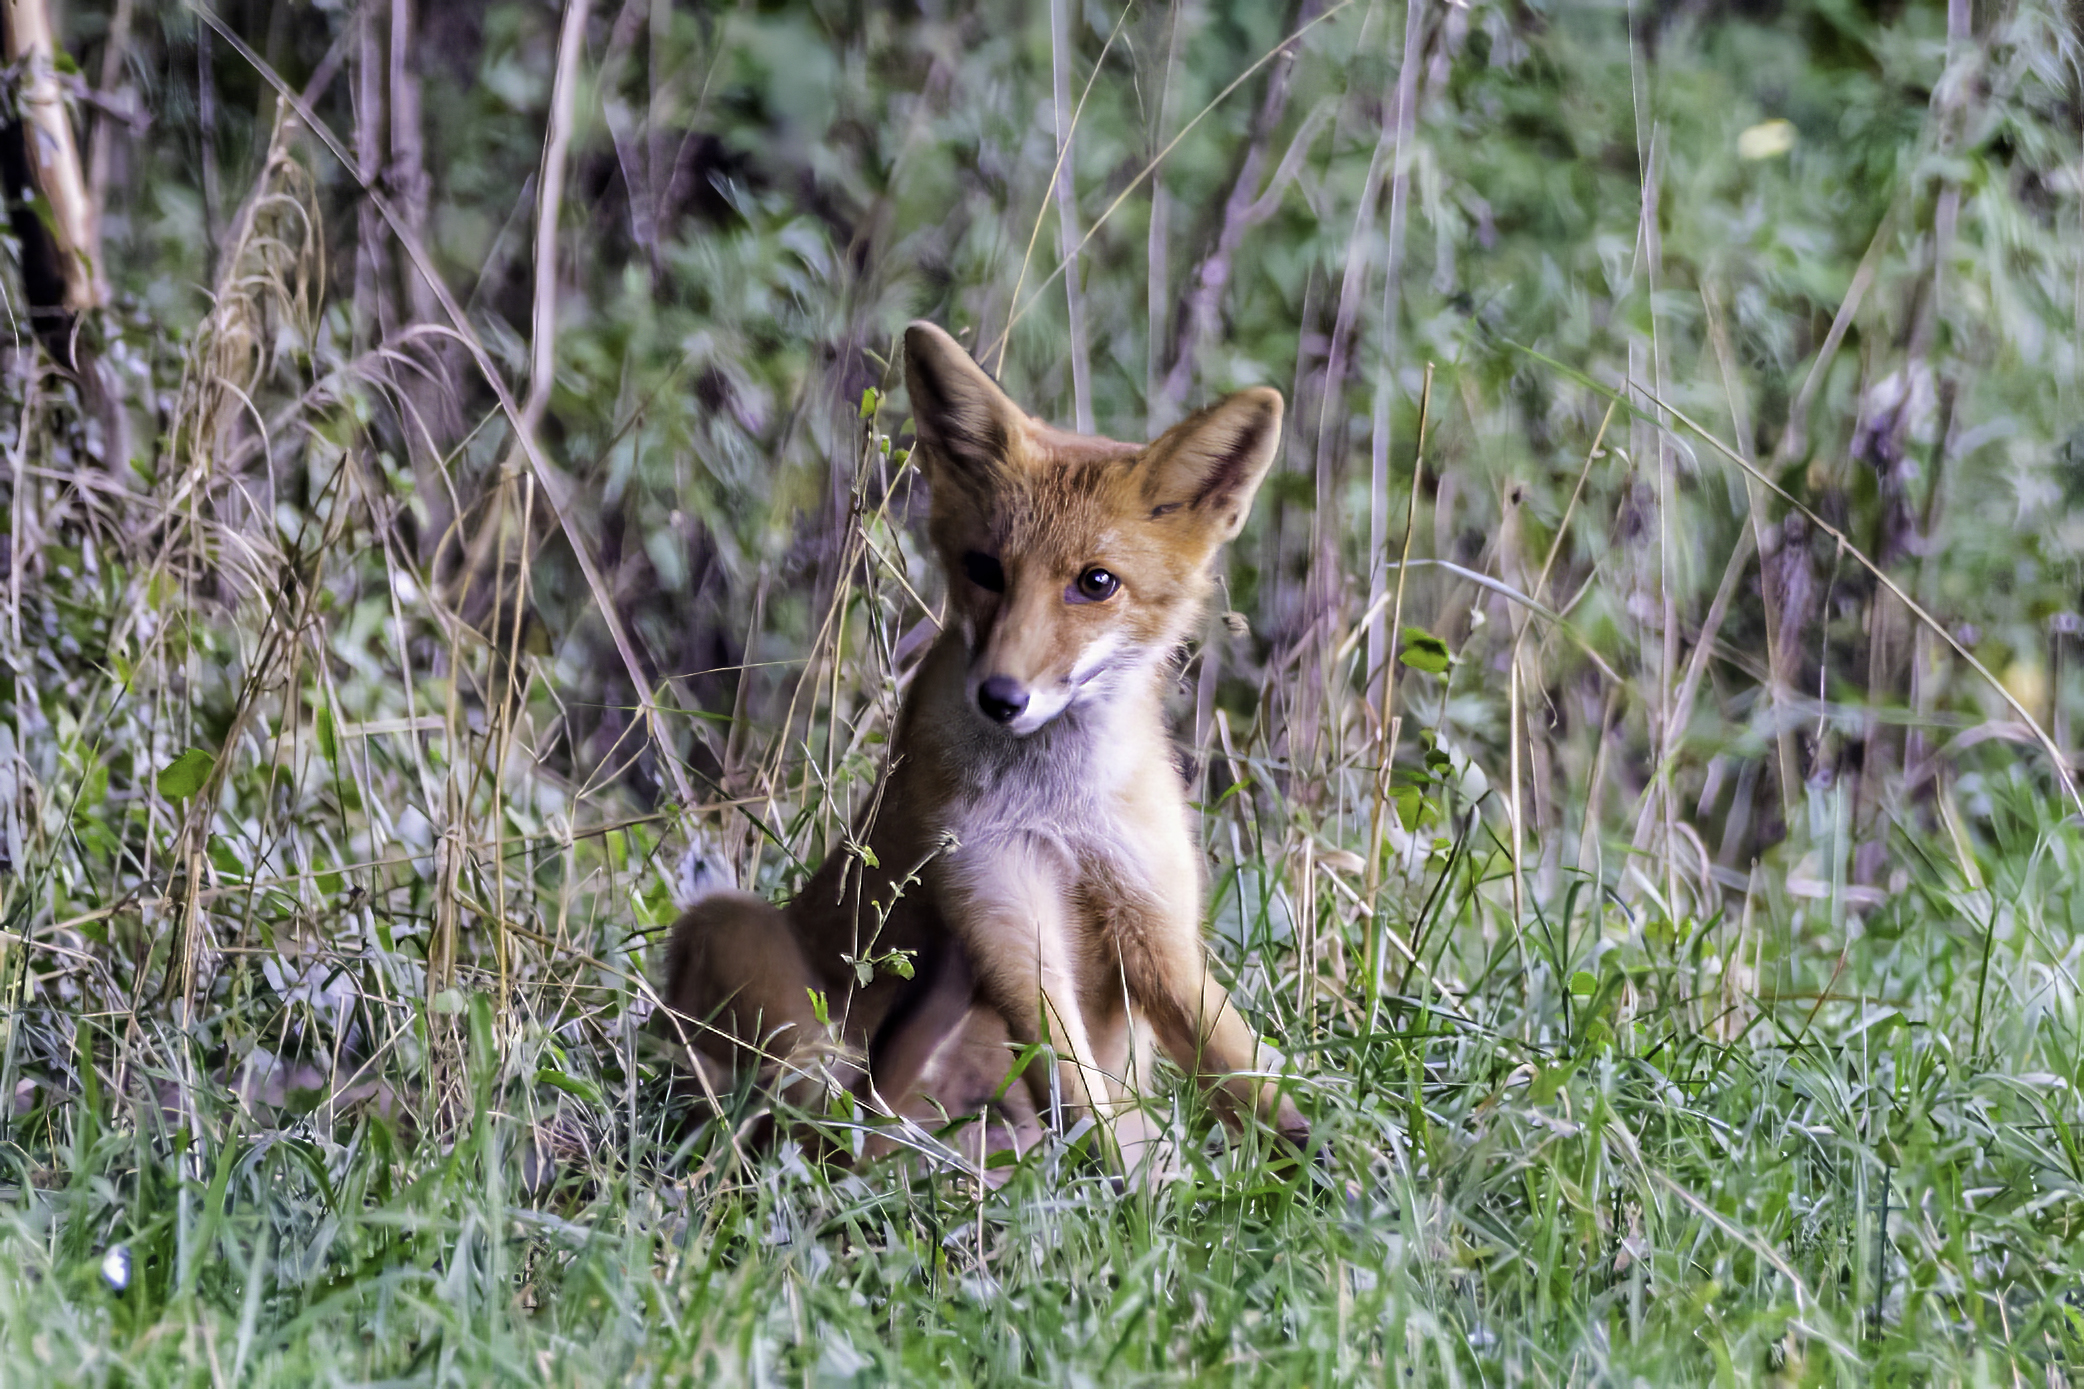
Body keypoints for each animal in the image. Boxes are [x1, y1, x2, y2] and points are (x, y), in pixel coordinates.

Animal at [662, 320, 1308, 1169]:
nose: (1001, 698)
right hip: (728, 930)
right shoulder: (1000, 904)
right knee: (823, 1116)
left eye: (1096, 582)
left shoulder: (1153, 920)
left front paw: (1328, 1169)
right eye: (984, 569)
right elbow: (1078, 1093)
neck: (1060, 809)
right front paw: (1124, 1187)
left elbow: (1246, 1073)